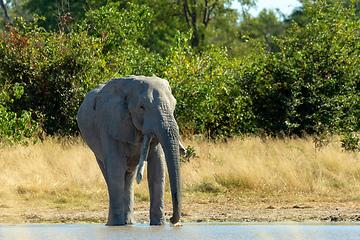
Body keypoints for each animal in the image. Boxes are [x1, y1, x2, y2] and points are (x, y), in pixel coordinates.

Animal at [75, 76, 183, 226]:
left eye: (174, 105)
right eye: (141, 107)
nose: (172, 220)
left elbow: (157, 169)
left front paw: (159, 225)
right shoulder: (110, 122)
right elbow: (115, 168)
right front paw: (116, 226)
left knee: (129, 175)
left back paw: (129, 223)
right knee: (110, 174)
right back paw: (114, 224)